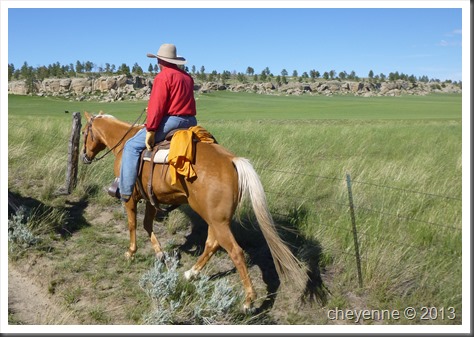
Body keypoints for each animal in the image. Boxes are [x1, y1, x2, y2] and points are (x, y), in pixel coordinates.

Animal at [81, 112, 308, 310]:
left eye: (84, 132)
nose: (85, 156)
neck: (124, 141)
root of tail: (232, 161)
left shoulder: (130, 198)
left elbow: (132, 224)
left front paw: (131, 252)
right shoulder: (151, 199)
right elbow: (147, 224)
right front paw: (160, 253)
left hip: (216, 220)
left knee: (235, 251)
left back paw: (248, 301)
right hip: (215, 219)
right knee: (212, 244)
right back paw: (192, 273)